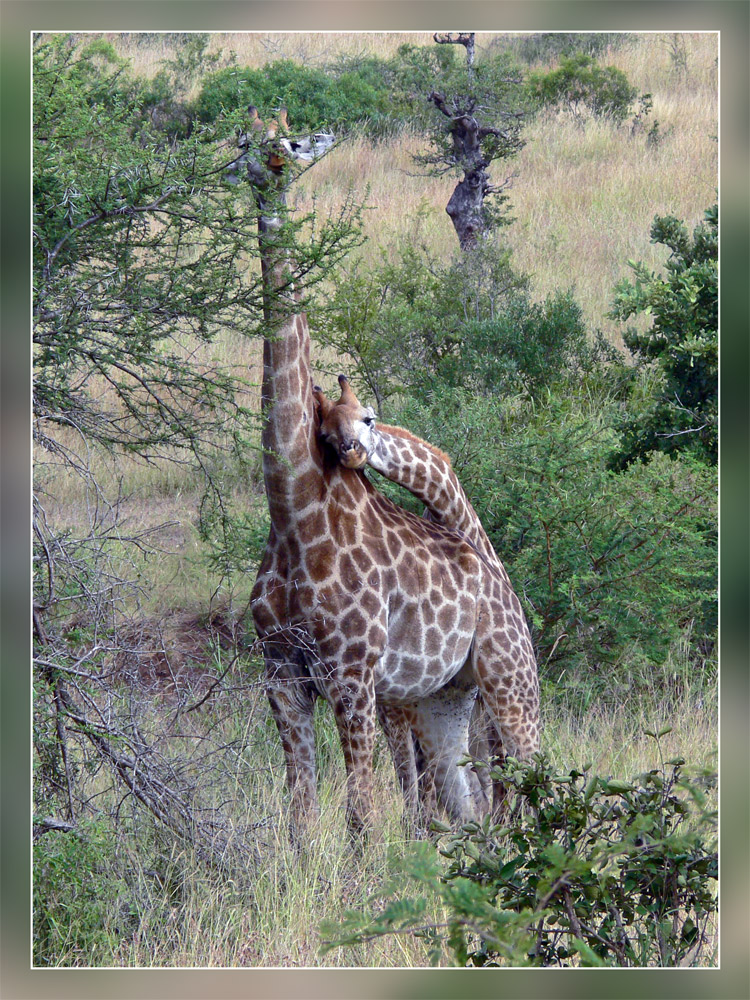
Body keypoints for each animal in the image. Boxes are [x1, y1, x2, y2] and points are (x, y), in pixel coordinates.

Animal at [314, 376, 544, 812]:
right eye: (326, 433)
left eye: (368, 418)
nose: (351, 452)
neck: (457, 518)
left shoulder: (477, 699)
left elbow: (487, 773)